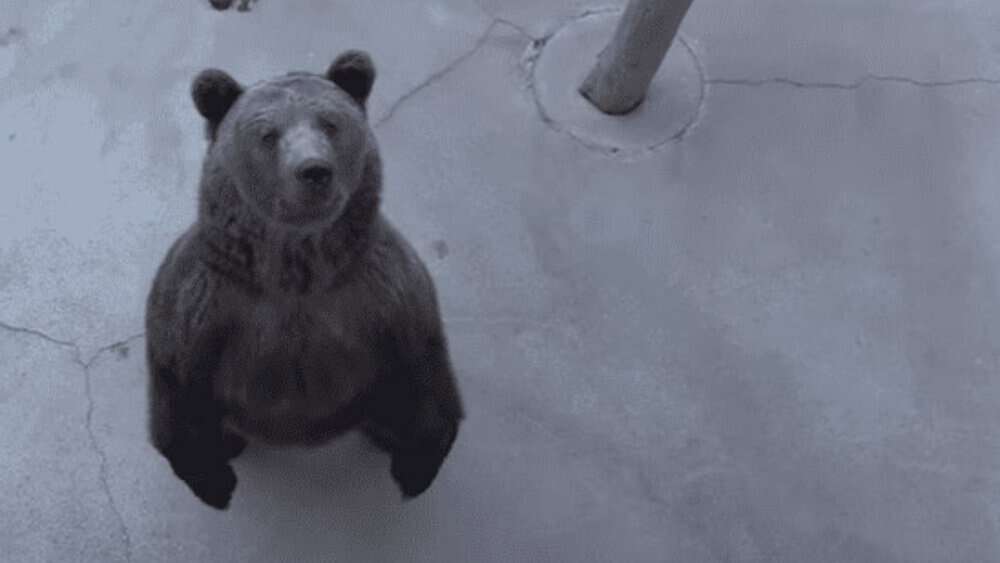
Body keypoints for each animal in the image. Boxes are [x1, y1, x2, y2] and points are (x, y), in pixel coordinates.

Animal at [145, 50, 464, 510]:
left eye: (329, 122)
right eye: (268, 133)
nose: (314, 171)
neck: (297, 270)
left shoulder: (379, 292)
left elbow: (423, 368)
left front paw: (414, 470)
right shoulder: (207, 302)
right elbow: (178, 379)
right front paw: (214, 482)